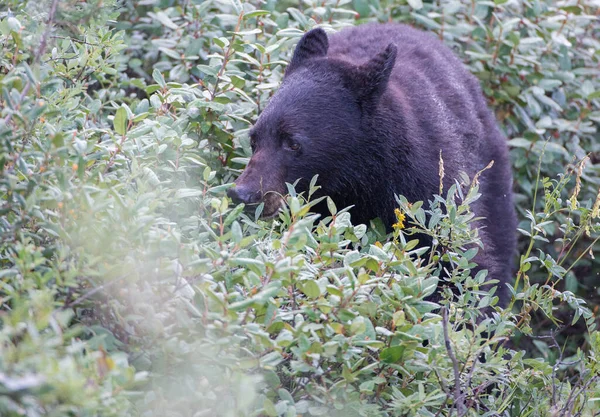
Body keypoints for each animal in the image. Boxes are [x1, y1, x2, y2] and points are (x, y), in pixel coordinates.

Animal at [227, 23, 516, 302]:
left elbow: (461, 268)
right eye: (254, 139)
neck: (359, 179)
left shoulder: (429, 195)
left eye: (293, 143)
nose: (242, 193)